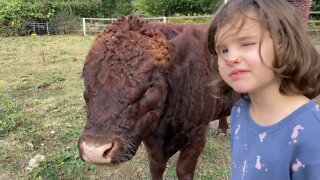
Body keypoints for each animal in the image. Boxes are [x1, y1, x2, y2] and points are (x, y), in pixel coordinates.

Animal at [78, 16, 236, 179]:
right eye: (85, 79)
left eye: (150, 85)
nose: (94, 150)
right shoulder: (150, 137)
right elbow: (156, 167)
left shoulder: (197, 135)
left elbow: (183, 171)